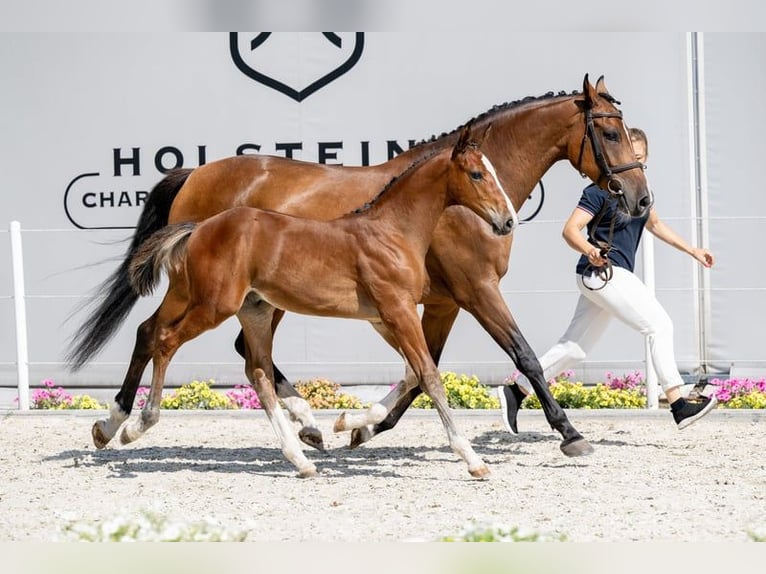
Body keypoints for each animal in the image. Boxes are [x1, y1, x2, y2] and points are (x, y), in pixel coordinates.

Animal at [69, 73, 652, 460]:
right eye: (611, 132)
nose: (640, 199)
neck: (449, 202)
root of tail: (194, 173)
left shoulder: (438, 302)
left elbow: (420, 372)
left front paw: (361, 424)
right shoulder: (476, 290)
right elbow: (522, 355)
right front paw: (571, 434)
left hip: (253, 297)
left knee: (223, 347)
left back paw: (305, 426)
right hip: (209, 292)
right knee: (157, 335)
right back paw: (116, 423)